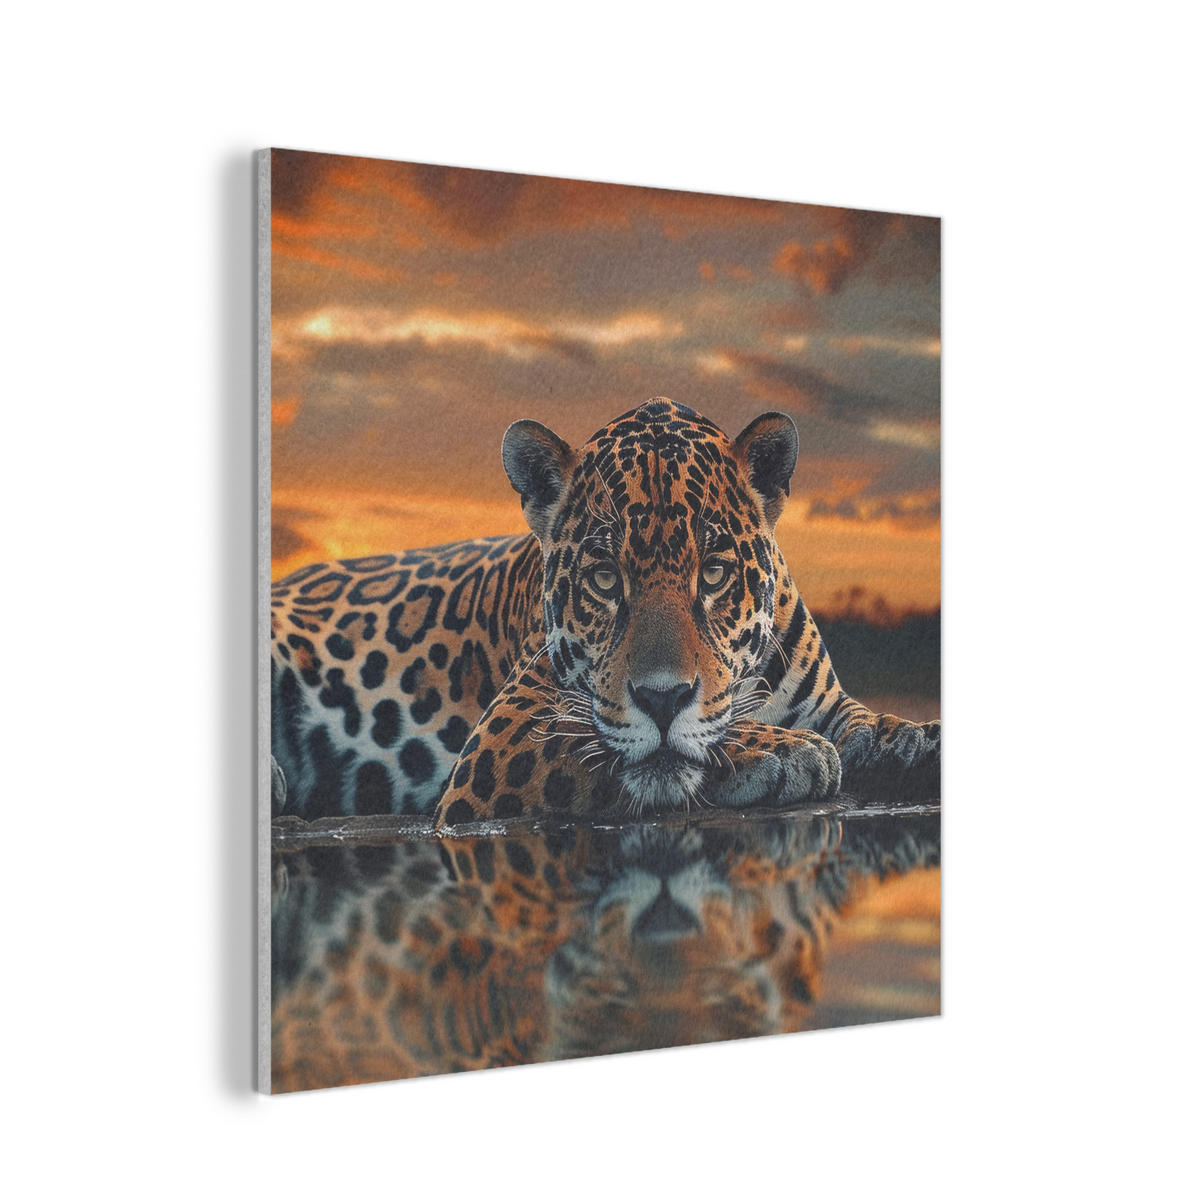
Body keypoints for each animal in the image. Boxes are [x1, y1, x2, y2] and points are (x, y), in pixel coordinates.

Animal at [269, 397, 940, 827]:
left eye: (713, 573)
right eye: (604, 578)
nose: (664, 700)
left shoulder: (831, 703)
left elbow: (869, 722)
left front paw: (917, 738)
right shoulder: (504, 734)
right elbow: (603, 742)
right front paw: (783, 750)